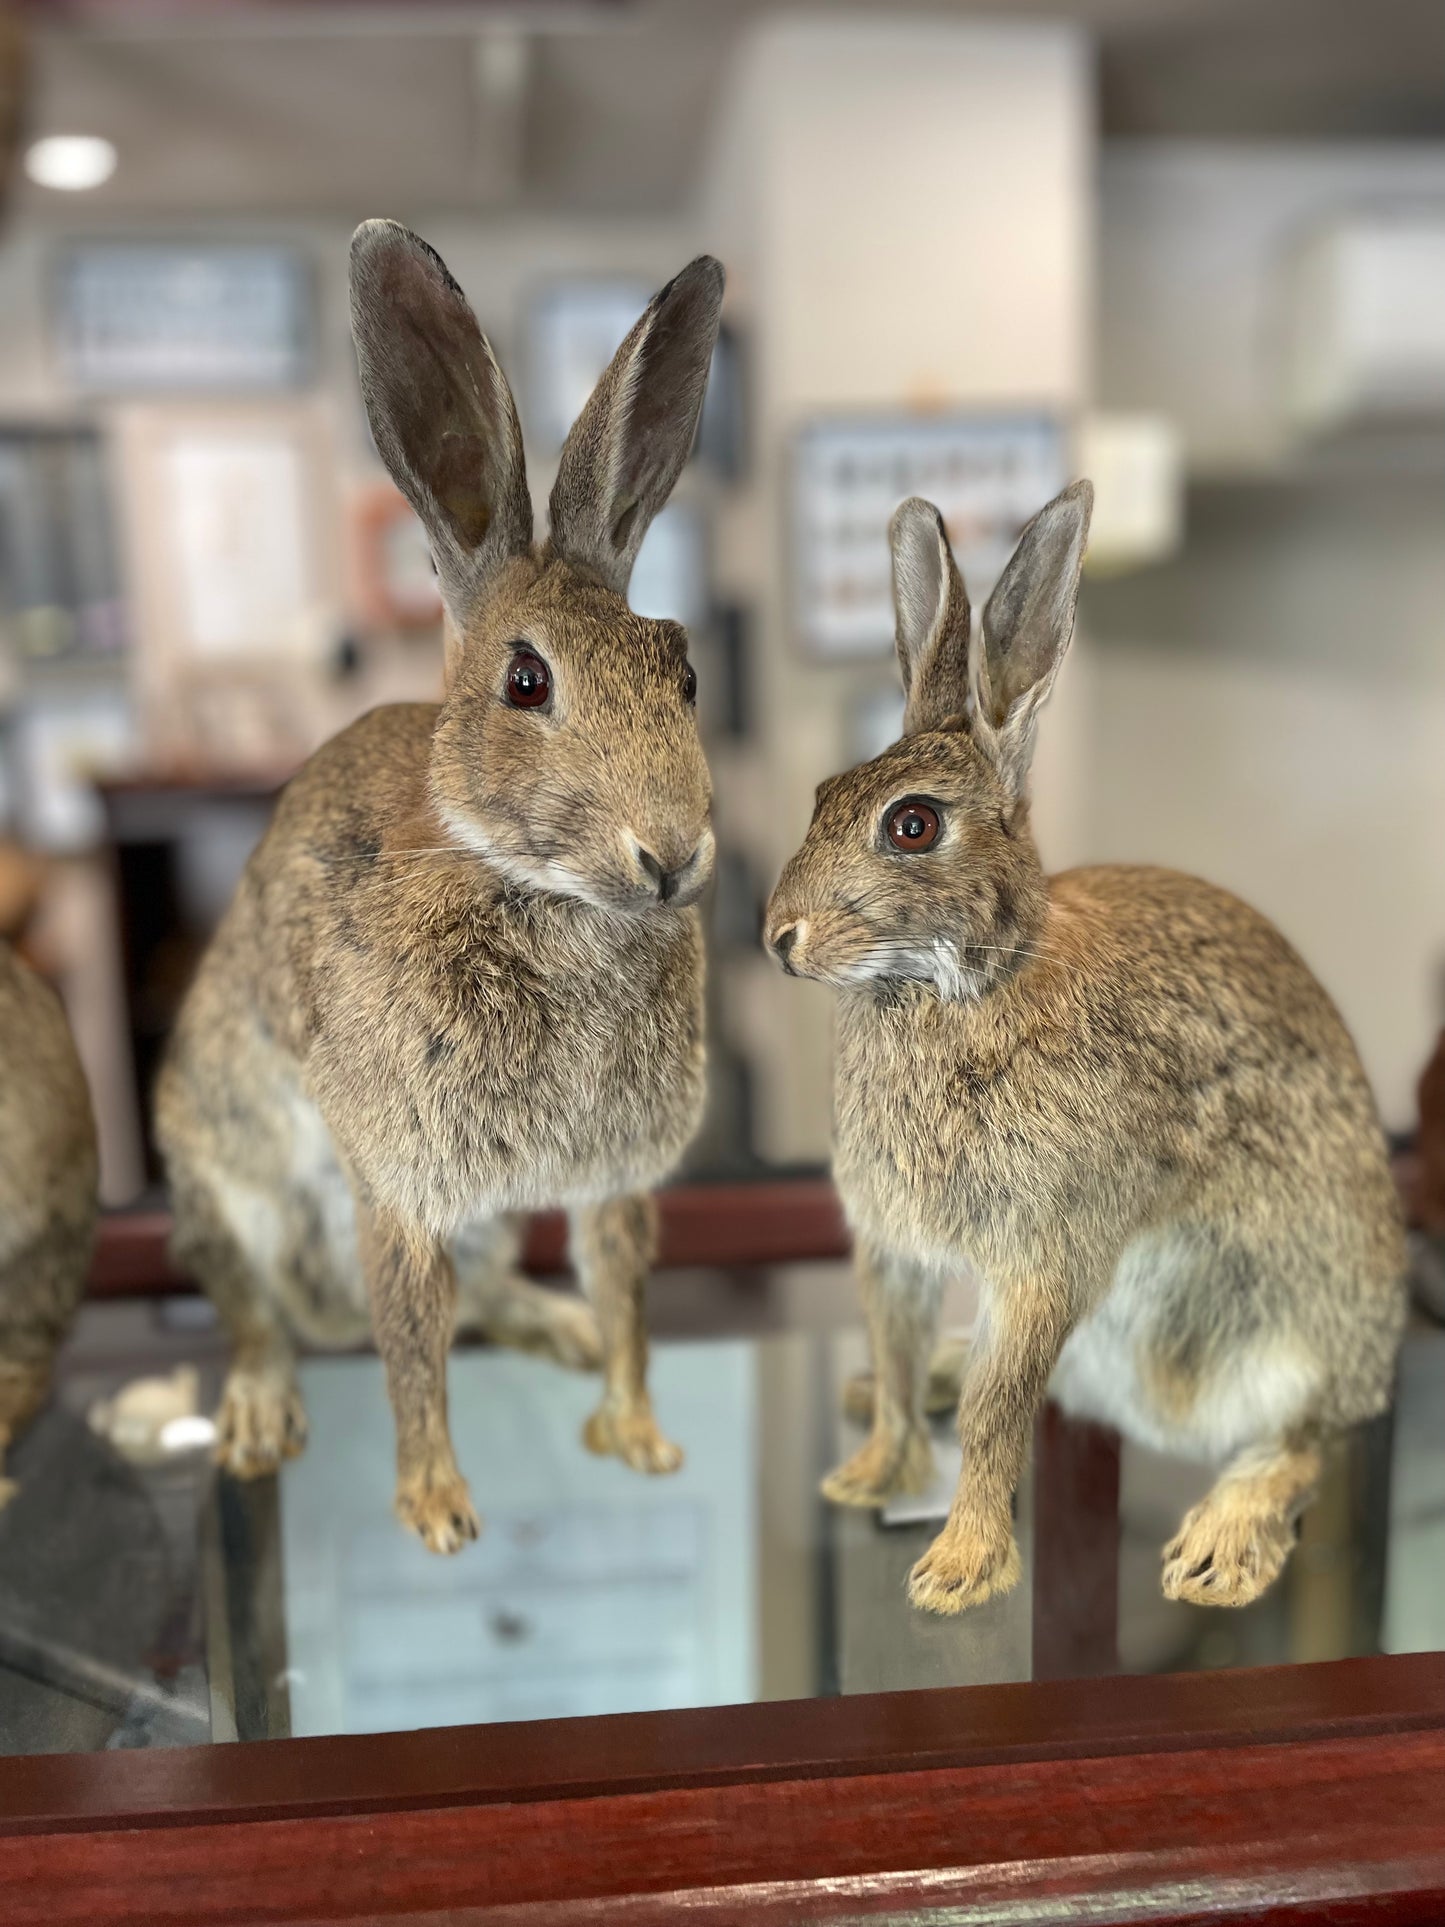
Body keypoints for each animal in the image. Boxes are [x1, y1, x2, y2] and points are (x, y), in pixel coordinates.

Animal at [160, 225, 724, 1549]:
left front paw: (641, 1436)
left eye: (681, 671)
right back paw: (259, 1410)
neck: (541, 891)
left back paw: (558, 1335)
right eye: (526, 681)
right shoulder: (397, 1188)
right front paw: (435, 1512)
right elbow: (410, 1349)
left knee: (491, 1293)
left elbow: (625, 1290)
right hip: (221, 1178)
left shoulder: (613, 1181)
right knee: (260, 1311)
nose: (670, 854)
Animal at [762, 477, 1410, 1610]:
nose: (779, 937)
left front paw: (958, 1572)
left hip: (1280, 1331)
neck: (965, 985)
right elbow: (896, 1358)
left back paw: (1216, 1550)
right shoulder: (892, 1246)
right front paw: (867, 1476)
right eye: (821, 798)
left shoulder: (1044, 1257)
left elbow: (994, 1416)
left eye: (911, 826)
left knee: (1300, 1442)